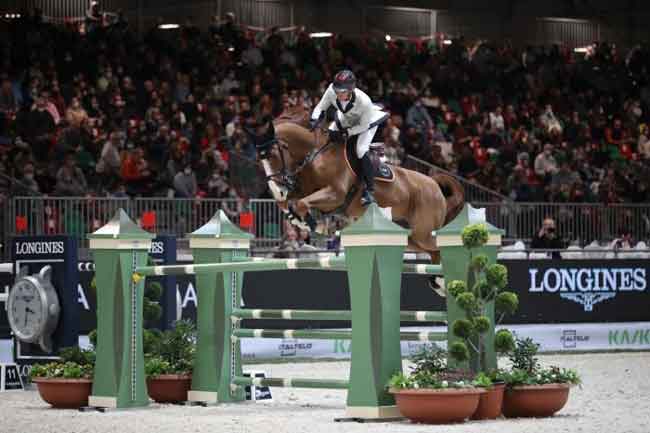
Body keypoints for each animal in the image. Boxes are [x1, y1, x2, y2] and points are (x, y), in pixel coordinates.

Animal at [253, 109, 465, 263]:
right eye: (259, 160)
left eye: (272, 154)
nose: (277, 189)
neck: (314, 155)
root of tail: (434, 184)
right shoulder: (303, 189)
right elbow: (290, 203)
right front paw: (301, 220)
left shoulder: (335, 194)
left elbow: (302, 203)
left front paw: (315, 224)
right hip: (412, 237)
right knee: (434, 253)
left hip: (423, 232)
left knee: (440, 248)